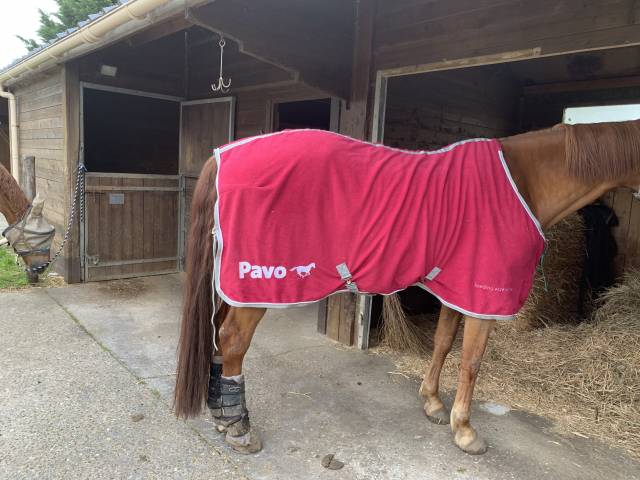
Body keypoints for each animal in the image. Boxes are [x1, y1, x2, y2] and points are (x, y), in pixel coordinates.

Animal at [174, 121, 640, 455]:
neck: (523, 178)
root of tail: (224, 155)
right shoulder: (484, 295)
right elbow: (471, 361)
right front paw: (465, 431)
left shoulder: (457, 287)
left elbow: (443, 343)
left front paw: (432, 403)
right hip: (259, 286)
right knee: (232, 340)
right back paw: (238, 428)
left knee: (218, 337)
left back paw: (221, 415)